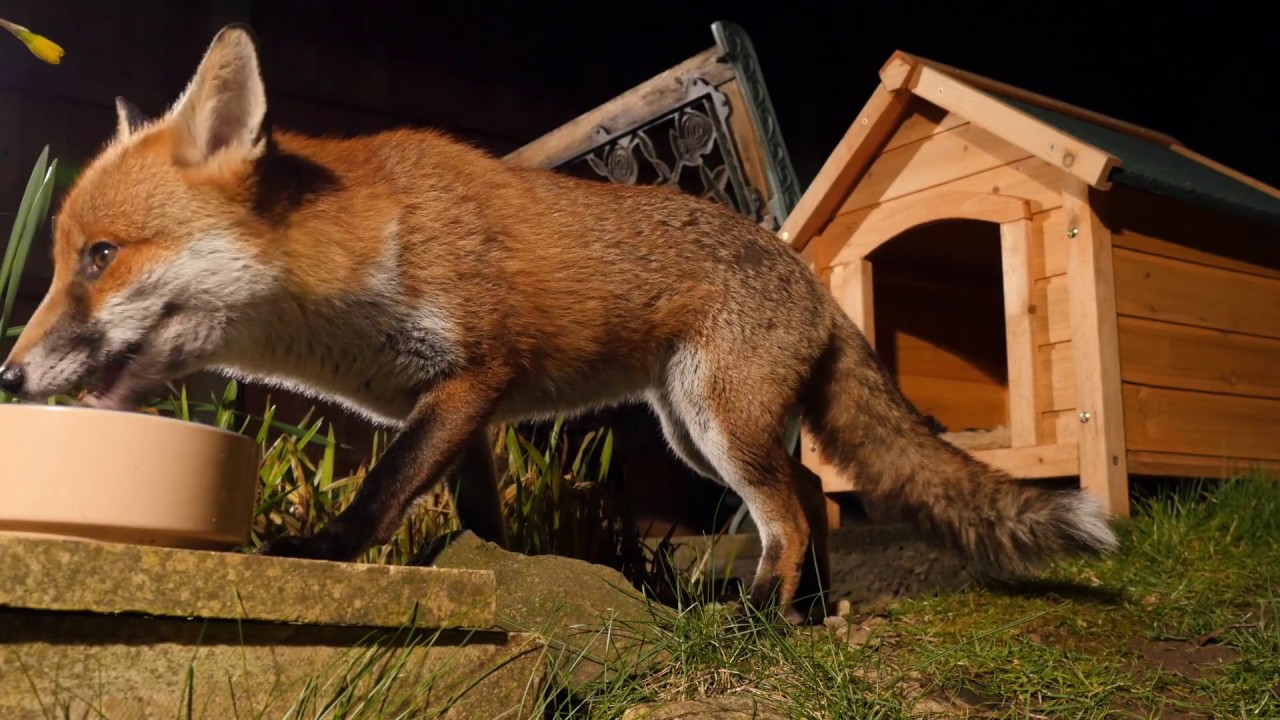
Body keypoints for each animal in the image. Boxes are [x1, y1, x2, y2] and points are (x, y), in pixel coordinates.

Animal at [0, 24, 1118, 622]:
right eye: (58, 261)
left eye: (99, 257)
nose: (7, 377)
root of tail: (808, 271)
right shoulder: (460, 410)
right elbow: (477, 518)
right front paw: (512, 576)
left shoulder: (471, 377)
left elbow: (382, 492)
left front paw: (319, 553)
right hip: (696, 429)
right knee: (803, 495)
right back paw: (803, 609)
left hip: (717, 424)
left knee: (792, 514)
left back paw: (757, 619)